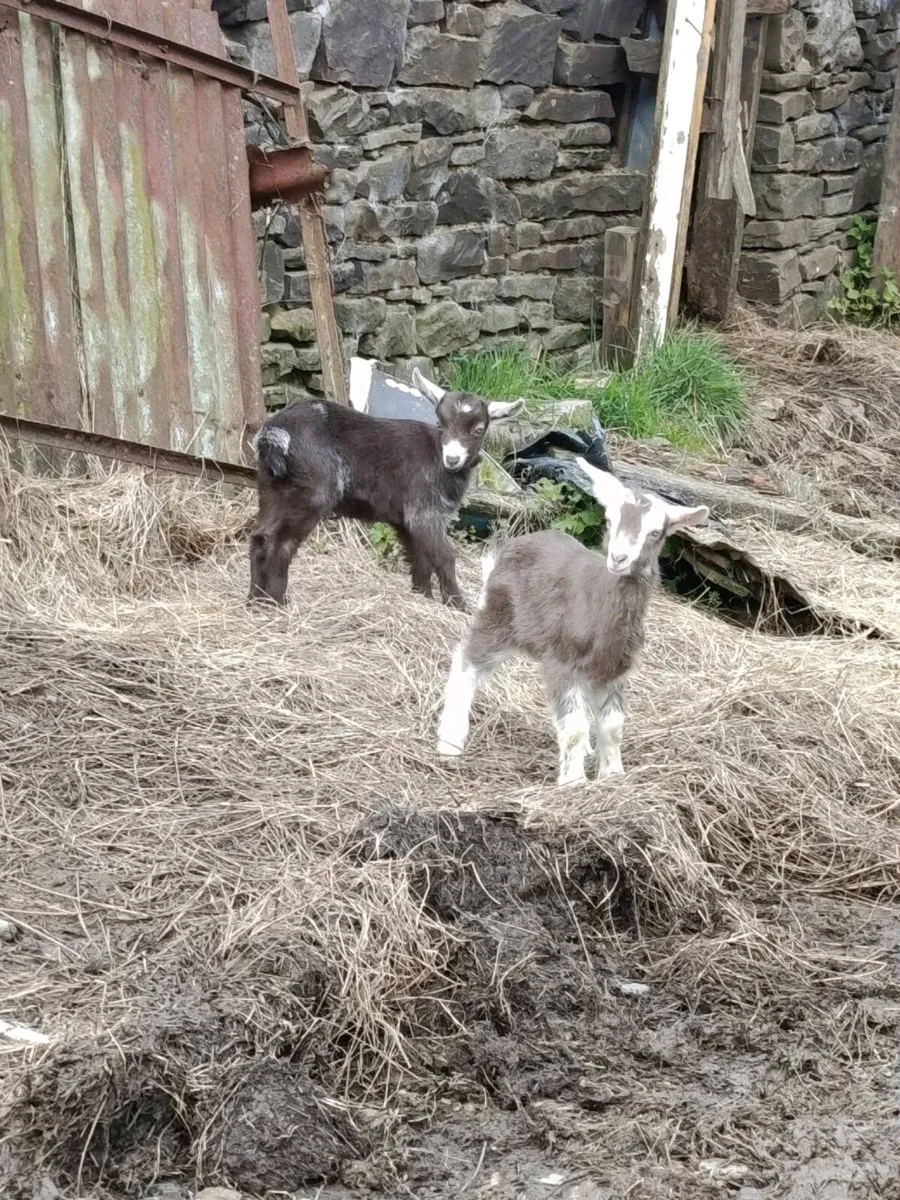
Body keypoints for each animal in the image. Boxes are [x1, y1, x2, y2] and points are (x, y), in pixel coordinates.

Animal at [249, 370, 523, 609]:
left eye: (478, 430)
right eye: (440, 423)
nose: (452, 458)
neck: (436, 456)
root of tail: (275, 433)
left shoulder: (405, 521)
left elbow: (420, 559)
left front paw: (423, 596)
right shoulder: (424, 511)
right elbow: (444, 556)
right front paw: (457, 605)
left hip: (272, 488)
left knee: (260, 536)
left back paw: (256, 600)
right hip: (312, 492)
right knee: (280, 541)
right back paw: (277, 602)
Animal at [436, 460, 709, 786]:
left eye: (656, 533)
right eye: (609, 521)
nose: (619, 558)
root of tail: (506, 550)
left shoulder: (614, 670)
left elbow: (612, 726)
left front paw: (613, 775)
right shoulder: (564, 662)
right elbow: (576, 727)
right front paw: (574, 781)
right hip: (498, 618)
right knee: (466, 662)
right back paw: (449, 742)